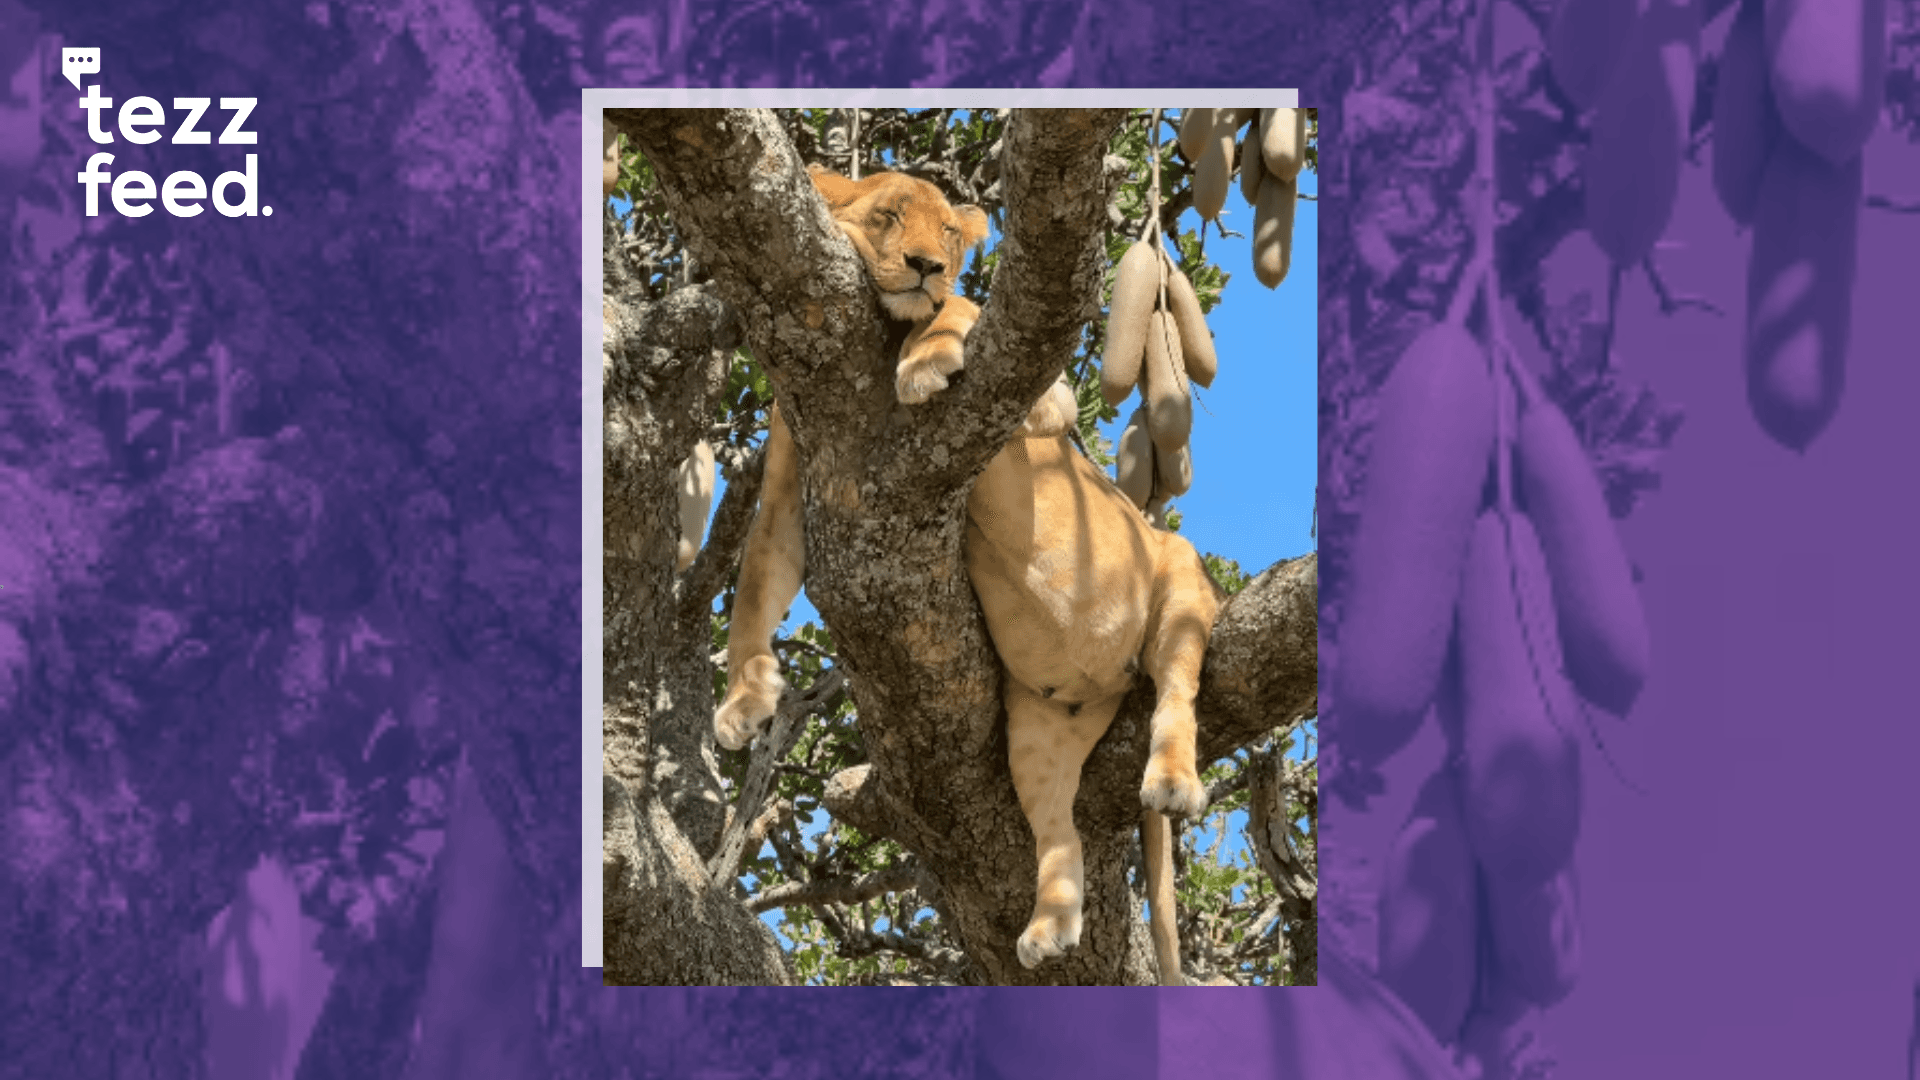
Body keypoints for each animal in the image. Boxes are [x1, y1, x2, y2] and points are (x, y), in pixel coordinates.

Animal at [713, 166, 1219, 985]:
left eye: (949, 236)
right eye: (887, 218)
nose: (925, 265)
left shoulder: (1047, 401)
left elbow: (956, 313)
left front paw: (925, 360)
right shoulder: (793, 491)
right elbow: (754, 590)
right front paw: (741, 703)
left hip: (1177, 586)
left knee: (1178, 694)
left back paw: (1171, 781)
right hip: (1038, 731)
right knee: (1059, 831)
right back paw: (1048, 929)